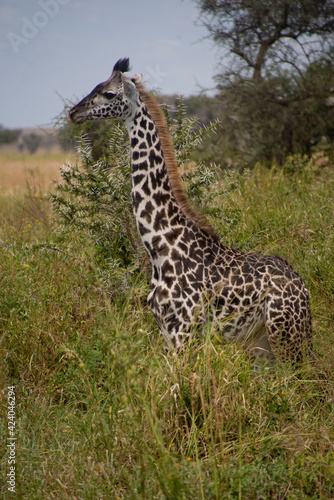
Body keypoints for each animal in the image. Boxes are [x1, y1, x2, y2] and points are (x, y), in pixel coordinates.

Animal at [68, 58, 314, 368]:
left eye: (109, 94)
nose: (74, 112)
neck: (160, 243)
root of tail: (303, 288)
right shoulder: (166, 331)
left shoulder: (184, 332)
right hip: (261, 345)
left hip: (285, 336)